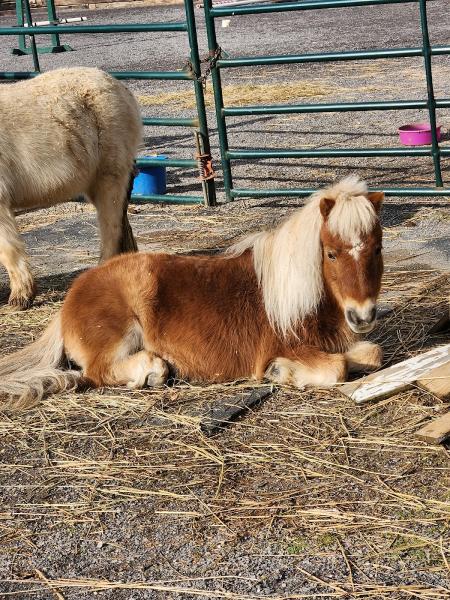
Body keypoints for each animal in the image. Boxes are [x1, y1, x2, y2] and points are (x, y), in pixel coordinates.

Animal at [0, 175, 384, 408]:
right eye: (330, 253)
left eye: (378, 248)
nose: (363, 316)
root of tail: (71, 297)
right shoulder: (290, 346)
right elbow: (337, 368)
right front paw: (281, 372)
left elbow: (371, 353)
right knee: (97, 372)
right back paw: (153, 370)